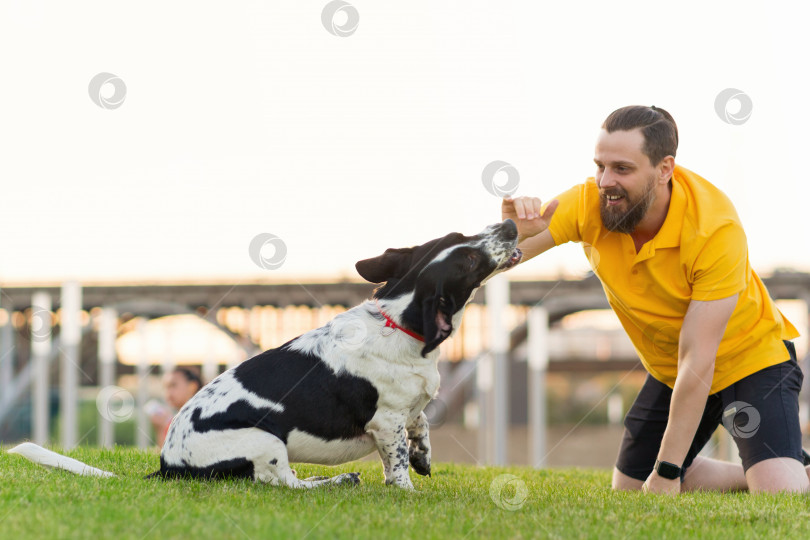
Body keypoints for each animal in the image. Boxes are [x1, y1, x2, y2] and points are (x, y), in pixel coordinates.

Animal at [7, 218, 516, 490]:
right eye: (469, 261)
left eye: (462, 234)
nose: (511, 225)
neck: (396, 321)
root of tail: (168, 465)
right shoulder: (385, 421)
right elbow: (396, 467)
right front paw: (407, 487)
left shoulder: (409, 409)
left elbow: (422, 423)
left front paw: (424, 455)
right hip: (266, 442)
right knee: (284, 484)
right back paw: (331, 483)